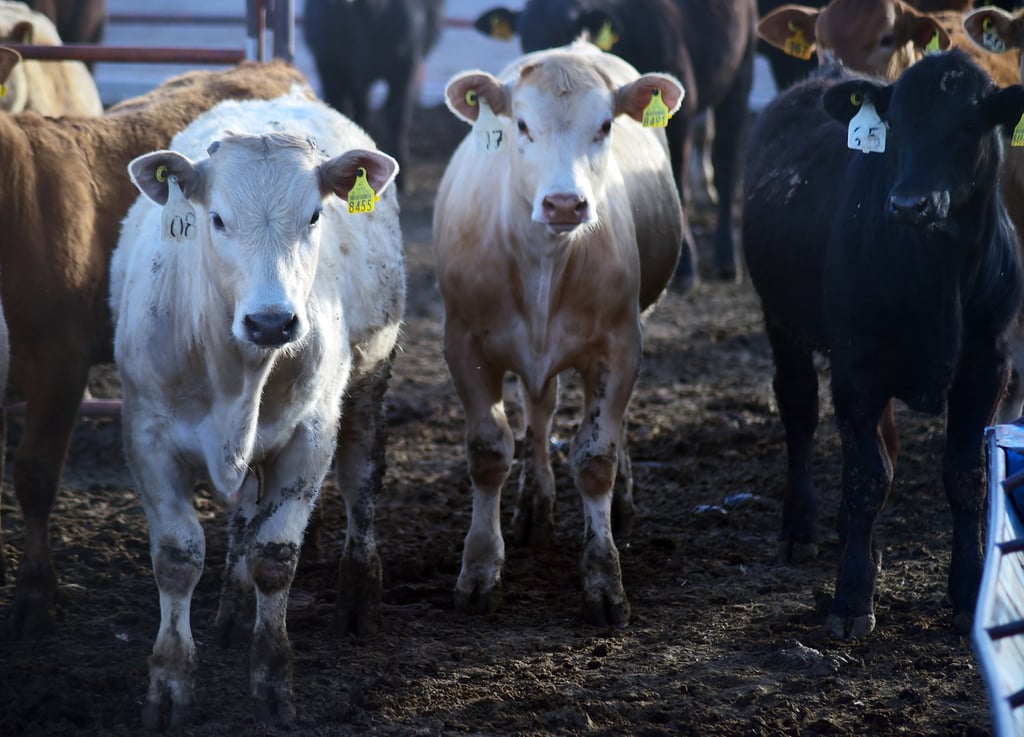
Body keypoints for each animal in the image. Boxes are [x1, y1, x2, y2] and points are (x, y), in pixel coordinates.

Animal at [109, 92, 403, 732]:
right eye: (217, 219)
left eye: (314, 217)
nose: (272, 322)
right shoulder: (147, 438)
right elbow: (178, 558)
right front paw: (170, 684)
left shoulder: (310, 437)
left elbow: (277, 555)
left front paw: (272, 680)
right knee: (244, 512)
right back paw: (233, 606)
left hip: (370, 385)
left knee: (361, 481)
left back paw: (359, 596)